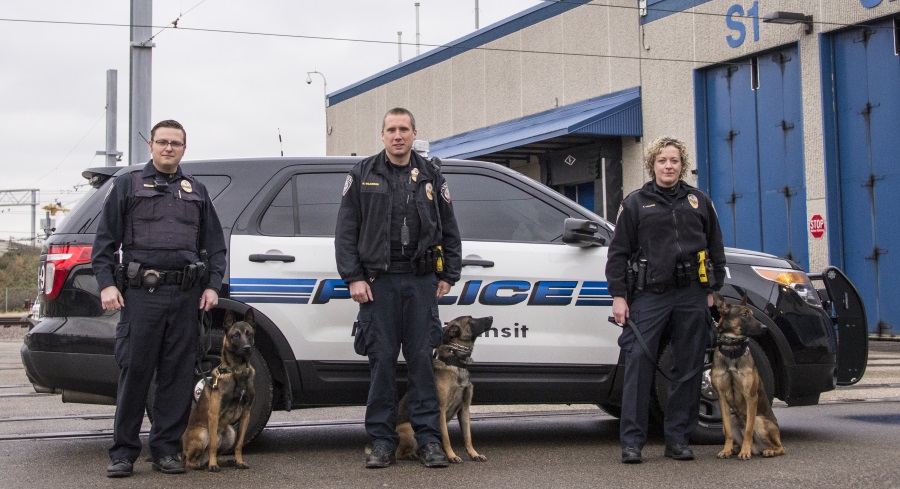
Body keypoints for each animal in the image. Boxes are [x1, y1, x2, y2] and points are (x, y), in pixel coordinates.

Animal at [181, 306, 255, 470]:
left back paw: (225, 462)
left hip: (230, 432)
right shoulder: (213, 414)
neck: (237, 370)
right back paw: (201, 465)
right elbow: (213, 445)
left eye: (249, 334)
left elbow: (239, 445)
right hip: (202, 433)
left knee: (208, 456)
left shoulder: (246, 414)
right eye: (235, 335)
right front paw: (213, 465)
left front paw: (239, 461)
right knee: (191, 460)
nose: (247, 348)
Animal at [396, 314, 492, 464]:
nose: (491, 317)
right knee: (398, 454)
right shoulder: (440, 410)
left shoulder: (465, 409)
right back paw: (412, 455)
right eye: (471, 319)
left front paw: (474, 454)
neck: (456, 363)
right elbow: (446, 437)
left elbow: (468, 436)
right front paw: (451, 455)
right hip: (409, 428)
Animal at [712, 292, 784, 460]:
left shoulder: (751, 397)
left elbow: (748, 431)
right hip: (733, 419)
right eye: (744, 315)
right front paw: (726, 450)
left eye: (752, 314)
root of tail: (757, 448)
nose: (764, 328)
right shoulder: (722, 399)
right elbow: (728, 431)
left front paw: (745, 452)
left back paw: (766, 451)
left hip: (760, 421)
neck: (732, 351)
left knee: (781, 447)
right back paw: (734, 449)